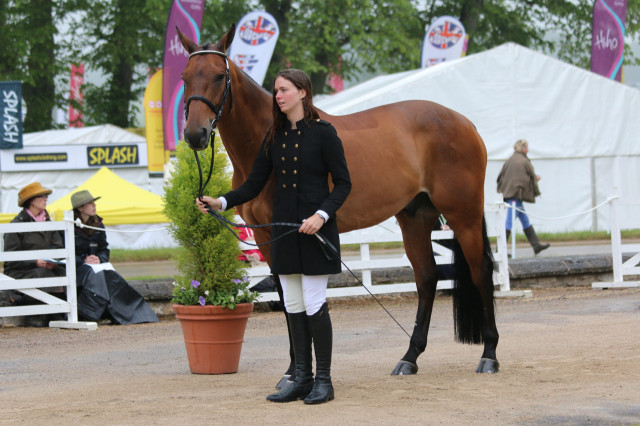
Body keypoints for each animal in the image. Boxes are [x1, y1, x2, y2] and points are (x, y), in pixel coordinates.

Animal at [178, 25, 498, 378]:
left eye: (220, 76)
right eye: (184, 77)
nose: (195, 134)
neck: (271, 136)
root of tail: (464, 122)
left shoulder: (287, 232)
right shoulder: (265, 235)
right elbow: (286, 296)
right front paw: (293, 369)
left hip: (464, 214)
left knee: (481, 271)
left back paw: (489, 355)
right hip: (415, 218)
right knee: (427, 277)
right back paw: (409, 357)